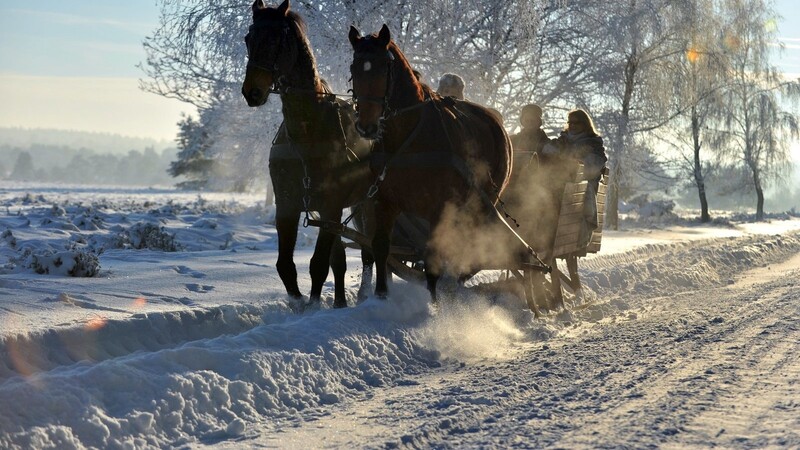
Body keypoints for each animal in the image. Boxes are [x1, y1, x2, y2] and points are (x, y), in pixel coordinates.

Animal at [241, 0, 376, 308]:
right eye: (248, 38)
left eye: (276, 39)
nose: (252, 92)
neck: (307, 133)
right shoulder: (287, 205)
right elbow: (286, 266)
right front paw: (300, 304)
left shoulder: (330, 206)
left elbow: (318, 264)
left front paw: (313, 306)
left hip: (369, 201)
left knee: (370, 251)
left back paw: (366, 296)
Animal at [346, 24, 528, 302]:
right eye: (354, 68)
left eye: (383, 68)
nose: (367, 126)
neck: (408, 136)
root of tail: (495, 121)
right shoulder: (383, 201)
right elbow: (380, 246)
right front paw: (380, 295)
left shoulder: (438, 207)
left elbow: (434, 255)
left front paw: (437, 303)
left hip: (483, 200)